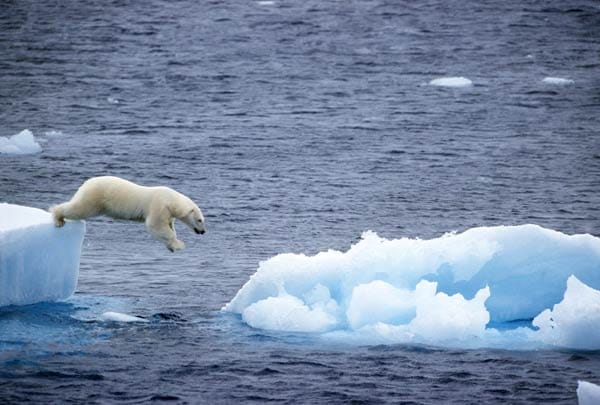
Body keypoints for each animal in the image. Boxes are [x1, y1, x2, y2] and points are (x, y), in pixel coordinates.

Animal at [49, 175, 204, 251]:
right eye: (200, 220)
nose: (203, 232)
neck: (171, 200)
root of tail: (87, 182)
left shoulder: (168, 213)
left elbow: (167, 227)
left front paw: (171, 246)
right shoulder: (158, 206)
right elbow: (155, 225)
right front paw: (178, 245)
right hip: (95, 197)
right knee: (79, 209)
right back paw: (58, 218)